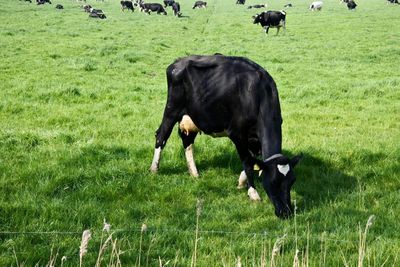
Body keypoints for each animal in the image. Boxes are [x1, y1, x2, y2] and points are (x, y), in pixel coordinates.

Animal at [152, 55, 302, 220]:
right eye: (273, 182)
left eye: (292, 181)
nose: (286, 212)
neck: (258, 94)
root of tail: (179, 61)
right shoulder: (237, 134)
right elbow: (247, 161)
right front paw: (253, 193)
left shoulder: (254, 140)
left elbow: (253, 160)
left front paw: (242, 182)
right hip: (172, 108)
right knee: (161, 135)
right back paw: (154, 169)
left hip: (193, 115)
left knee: (187, 141)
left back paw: (194, 173)